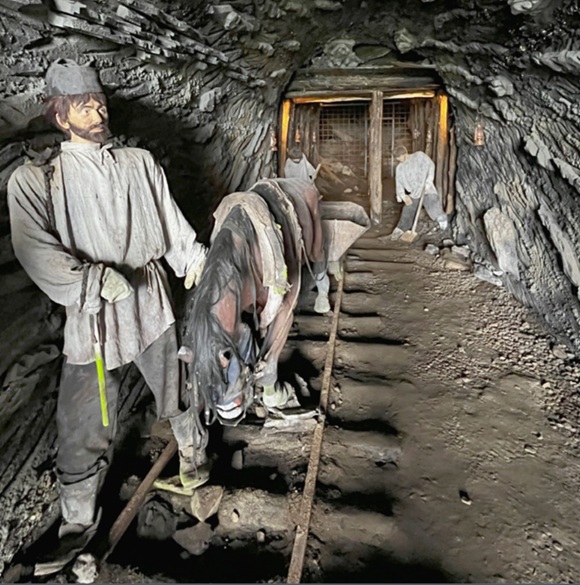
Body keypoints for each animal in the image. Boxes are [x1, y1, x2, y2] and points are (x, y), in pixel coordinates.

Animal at [178, 178, 330, 428]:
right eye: (196, 379)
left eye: (228, 360)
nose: (228, 413)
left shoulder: (284, 309)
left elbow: (269, 360)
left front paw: (277, 396)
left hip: (317, 240)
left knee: (321, 262)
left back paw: (323, 299)